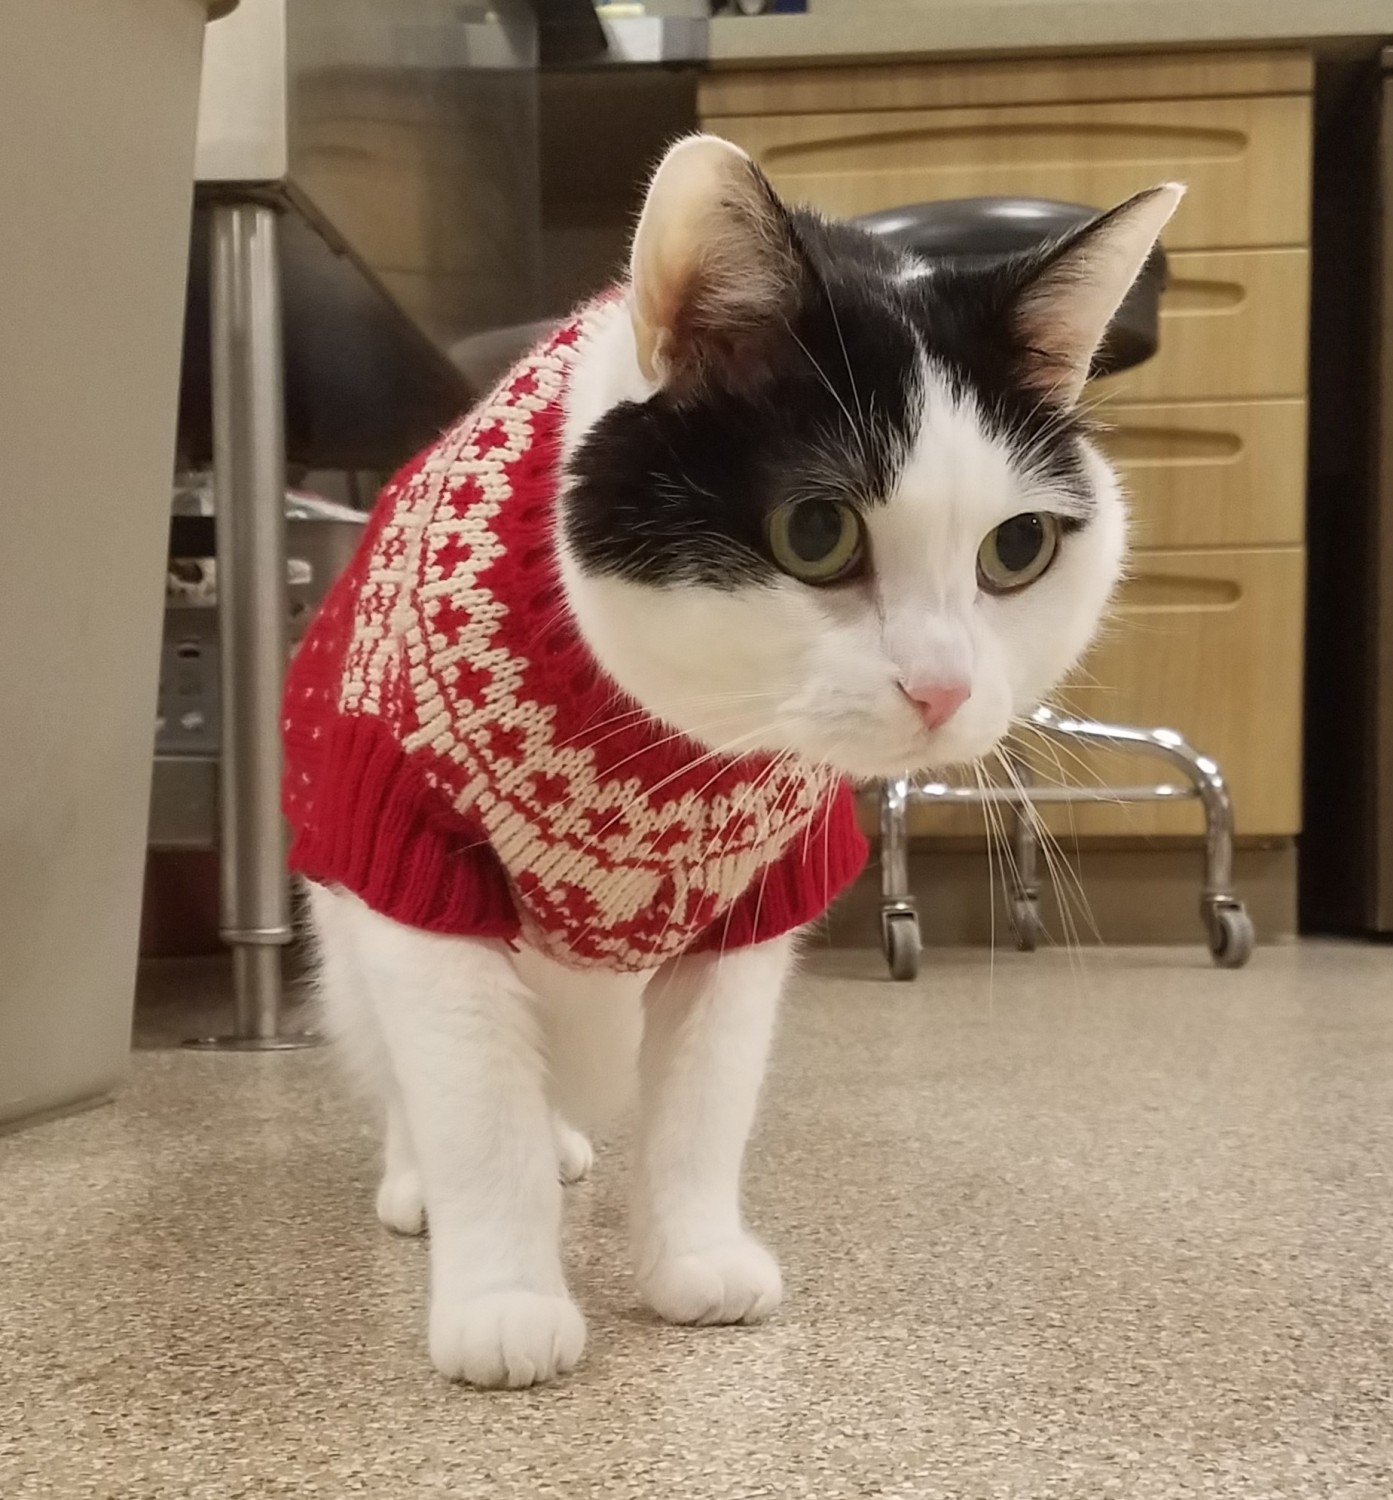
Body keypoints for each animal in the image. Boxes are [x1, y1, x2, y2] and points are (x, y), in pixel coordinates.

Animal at [287, 135, 1181, 1386]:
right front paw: (505, 1299)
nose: (943, 690)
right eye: (816, 533)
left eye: (1017, 549)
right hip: (345, 928)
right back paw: (429, 1181)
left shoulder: (760, 898)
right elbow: (477, 1109)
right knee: (409, 1070)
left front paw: (694, 1258)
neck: (673, 740)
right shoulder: (415, 862)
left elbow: (703, 1108)